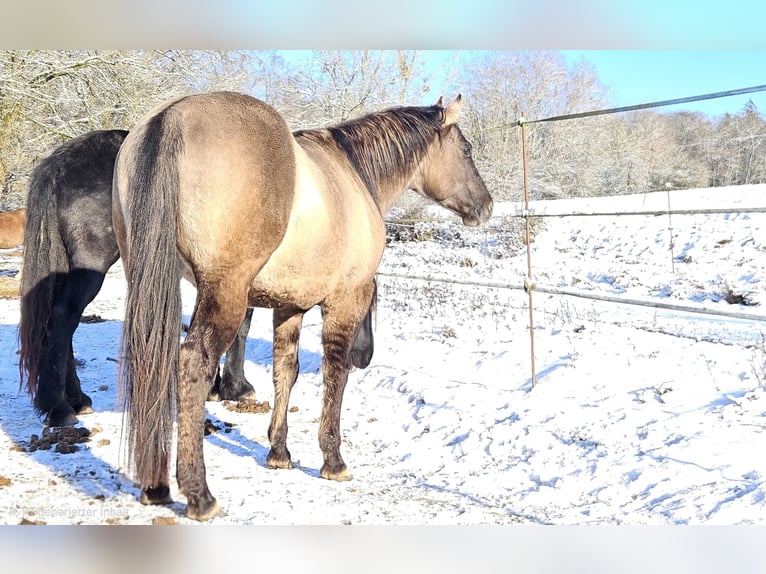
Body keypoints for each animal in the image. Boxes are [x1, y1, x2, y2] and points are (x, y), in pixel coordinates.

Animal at [18, 129, 376, 428]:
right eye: (370, 299)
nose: (363, 357)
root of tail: (59, 163)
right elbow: (241, 328)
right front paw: (234, 386)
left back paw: (75, 399)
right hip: (91, 267)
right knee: (63, 320)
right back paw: (59, 408)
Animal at [113, 91, 492, 520]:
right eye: (466, 149)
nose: (486, 205)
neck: (355, 172)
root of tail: (174, 115)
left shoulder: (287, 307)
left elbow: (286, 371)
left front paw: (279, 451)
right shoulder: (346, 299)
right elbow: (335, 373)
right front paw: (333, 458)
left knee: (152, 359)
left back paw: (155, 485)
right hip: (224, 293)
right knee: (192, 364)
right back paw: (198, 493)